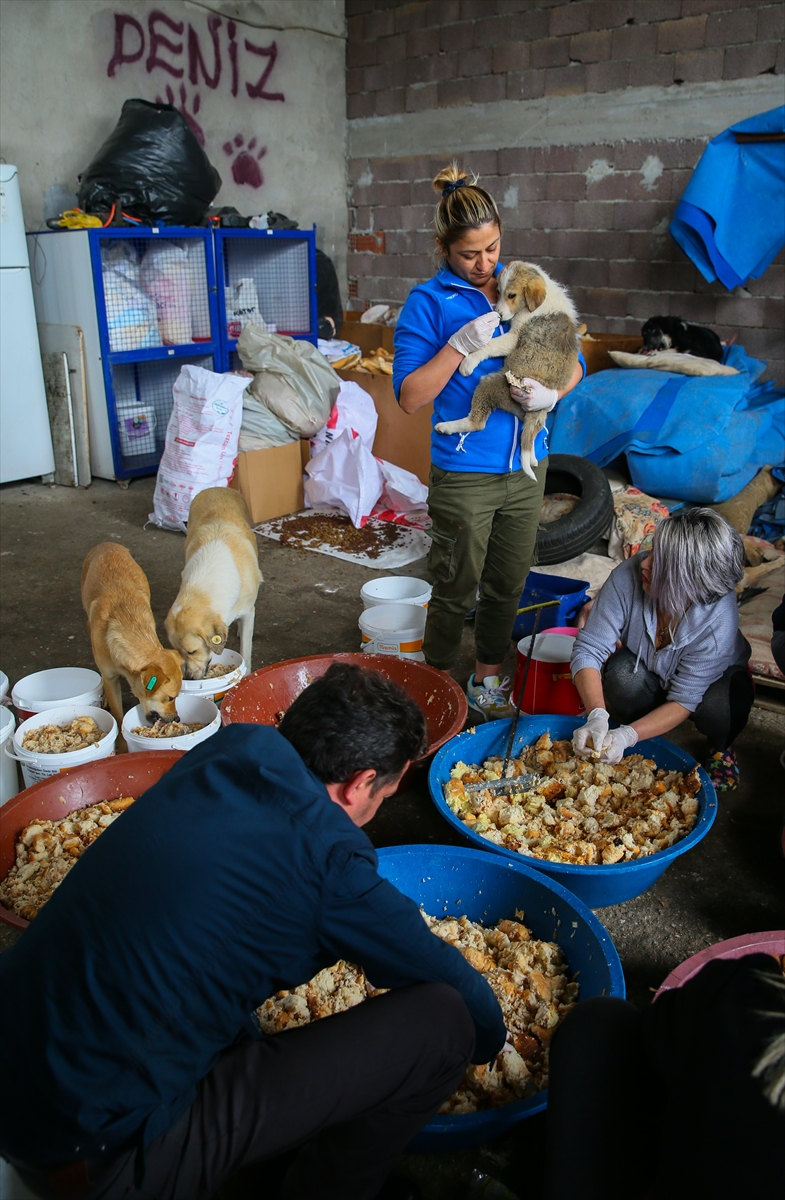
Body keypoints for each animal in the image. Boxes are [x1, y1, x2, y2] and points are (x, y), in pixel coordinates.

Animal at [165, 484, 264, 676]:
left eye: (192, 651)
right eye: (178, 652)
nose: (188, 678)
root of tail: (216, 487)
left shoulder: (249, 612)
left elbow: (245, 650)